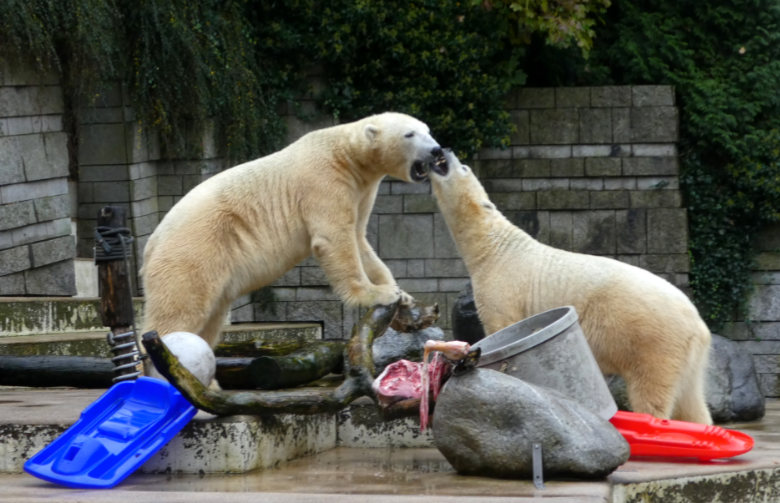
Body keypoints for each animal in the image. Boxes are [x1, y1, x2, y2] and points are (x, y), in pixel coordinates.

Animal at [142, 112, 442, 354]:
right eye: (409, 134)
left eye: (428, 129)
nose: (437, 150)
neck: (346, 155)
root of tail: (151, 244)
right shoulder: (324, 182)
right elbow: (335, 239)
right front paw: (378, 293)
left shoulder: (361, 190)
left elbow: (359, 239)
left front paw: (400, 292)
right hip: (193, 251)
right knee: (178, 312)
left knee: (210, 321)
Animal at [430, 151, 716, 426]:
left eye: (463, 167)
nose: (443, 150)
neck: (496, 248)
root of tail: (697, 324)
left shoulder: (503, 290)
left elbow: (502, 328)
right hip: (690, 357)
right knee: (692, 401)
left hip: (653, 341)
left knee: (651, 391)